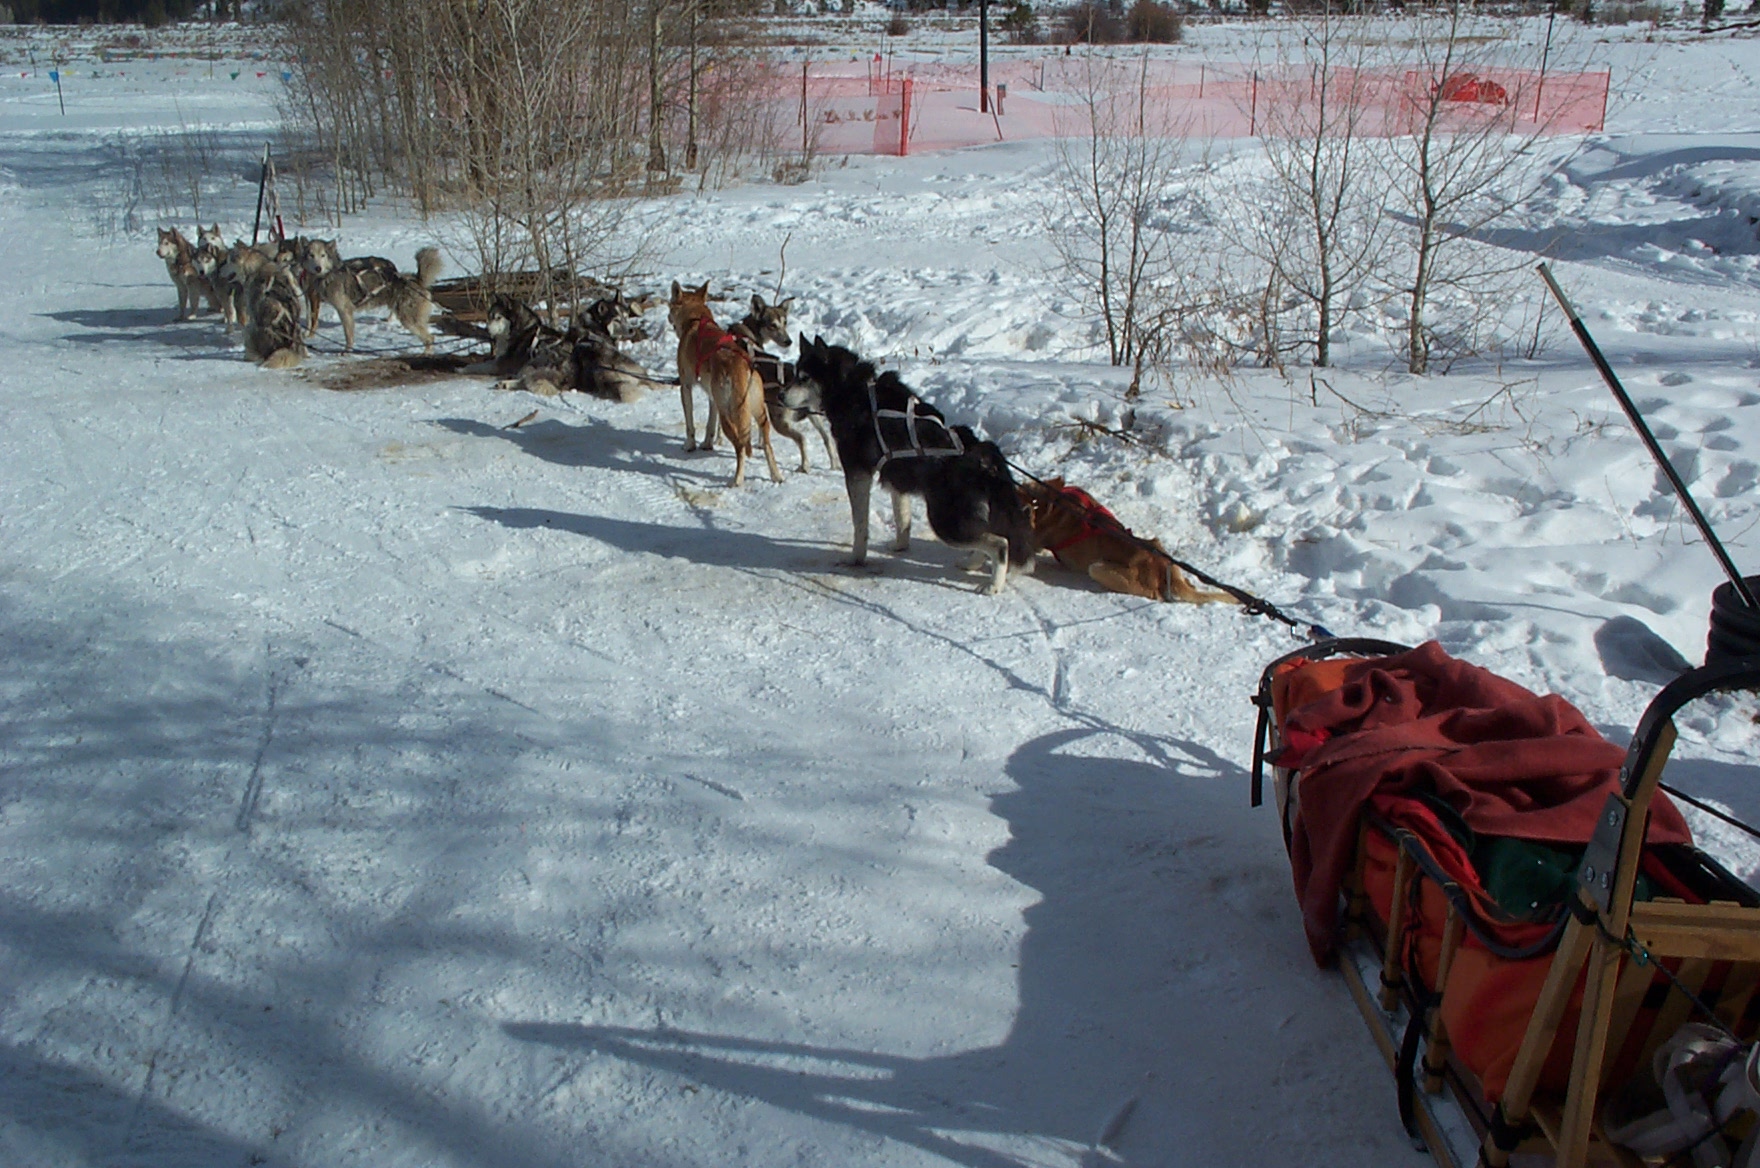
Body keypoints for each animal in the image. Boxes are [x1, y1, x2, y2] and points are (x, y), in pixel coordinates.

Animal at [303, 239, 441, 352]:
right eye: (311, 255)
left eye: (323, 255)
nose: (318, 268)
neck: (330, 274)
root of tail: (416, 279)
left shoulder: (345, 310)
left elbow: (348, 335)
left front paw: (347, 352)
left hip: (409, 320)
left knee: (430, 338)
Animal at [669, 281, 781, 486]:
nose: (668, 317)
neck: (697, 319)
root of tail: (742, 368)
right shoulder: (713, 397)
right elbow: (710, 425)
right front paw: (707, 444)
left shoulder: (686, 387)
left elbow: (690, 423)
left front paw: (690, 445)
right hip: (758, 413)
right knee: (767, 445)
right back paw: (777, 476)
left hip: (729, 416)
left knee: (740, 447)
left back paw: (737, 479)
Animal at [729, 294, 837, 474]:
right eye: (773, 325)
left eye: (785, 322)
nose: (788, 341)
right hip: (812, 416)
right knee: (827, 438)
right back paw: (835, 464)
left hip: (780, 423)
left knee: (802, 438)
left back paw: (805, 465)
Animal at [783, 335, 1034, 594]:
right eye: (795, 374)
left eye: (804, 378)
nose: (780, 396)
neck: (852, 389)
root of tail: (980, 455)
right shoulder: (896, 478)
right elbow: (902, 518)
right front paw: (900, 546)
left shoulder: (857, 473)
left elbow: (860, 525)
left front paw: (856, 558)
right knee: (987, 539)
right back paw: (972, 563)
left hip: (946, 522)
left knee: (1000, 544)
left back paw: (994, 585)